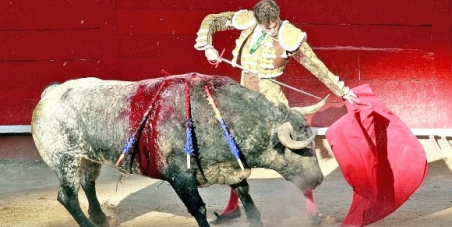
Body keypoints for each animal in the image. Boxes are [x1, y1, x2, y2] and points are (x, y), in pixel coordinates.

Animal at [31, 73, 326, 227]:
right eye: (300, 150)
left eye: (313, 145)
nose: (318, 180)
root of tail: (50, 93)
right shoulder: (180, 177)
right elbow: (199, 208)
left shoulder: (232, 168)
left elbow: (248, 201)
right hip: (65, 160)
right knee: (67, 196)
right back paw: (89, 222)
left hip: (87, 158)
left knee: (88, 184)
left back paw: (100, 217)